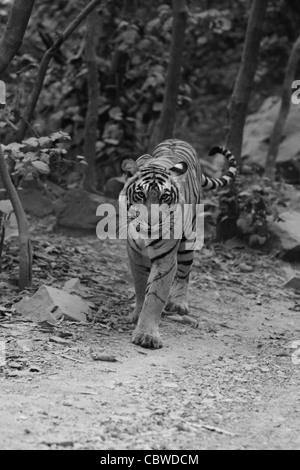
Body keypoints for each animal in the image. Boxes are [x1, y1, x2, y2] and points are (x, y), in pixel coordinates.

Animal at [119, 139, 237, 348]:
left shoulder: (165, 260)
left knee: (184, 273)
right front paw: (136, 314)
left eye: (164, 197)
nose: (152, 221)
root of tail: (178, 140)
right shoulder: (136, 255)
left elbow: (155, 296)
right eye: (140, 195)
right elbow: (141, 288)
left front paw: (147, 334)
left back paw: (179, 304)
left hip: (188, 239)